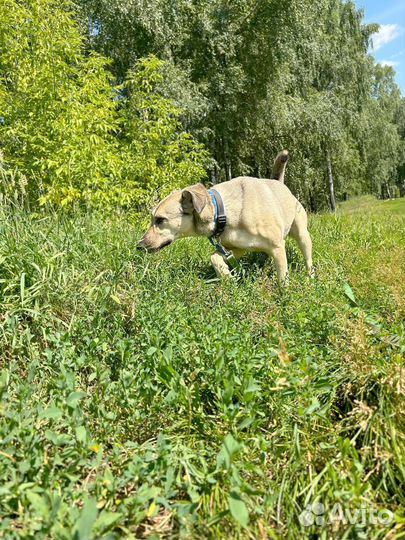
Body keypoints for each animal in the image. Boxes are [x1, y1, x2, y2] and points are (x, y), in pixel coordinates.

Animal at [138, 150, 312, 280]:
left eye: (160, 220)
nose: (138, 245)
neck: (221, 211)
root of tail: (281, 184)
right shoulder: (236, 248)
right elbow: (214, 257)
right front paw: (226, 276)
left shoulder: (277, 247)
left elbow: (283, 277)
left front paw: (284, 296)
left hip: (302, 234)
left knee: (307, 257)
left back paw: (310, 278)